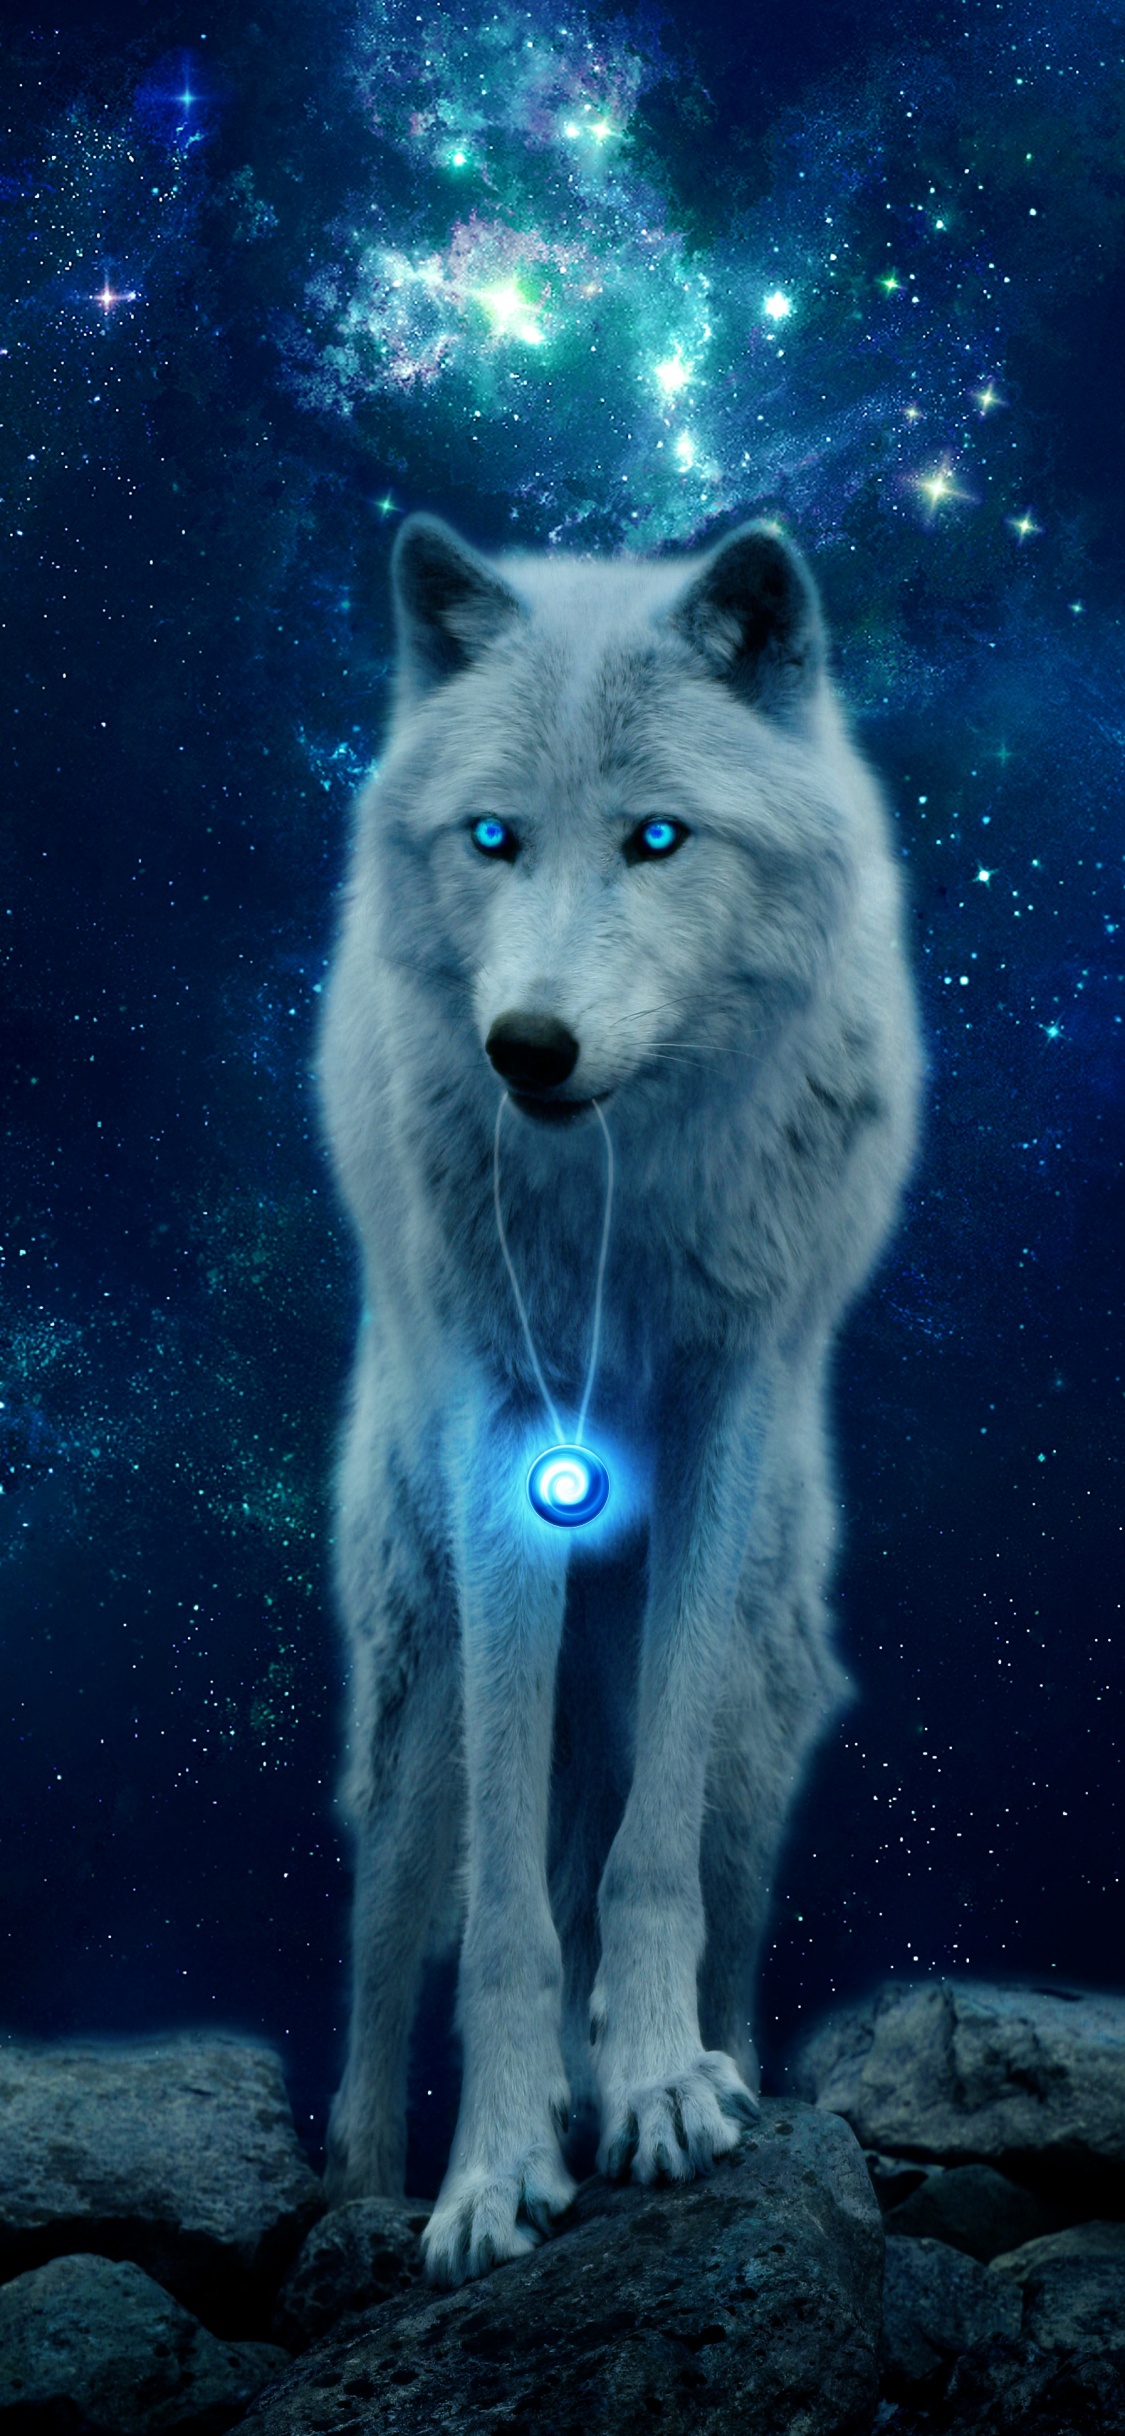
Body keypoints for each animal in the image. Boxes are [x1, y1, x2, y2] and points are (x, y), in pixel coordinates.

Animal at [318, 512, 921, 2287]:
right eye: (492, 838)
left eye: (659, 838)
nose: (526, 1045)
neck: (615, 1193)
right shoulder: (511, 1439)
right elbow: (505, 1925)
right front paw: (491, 2173)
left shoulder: (724, 1411)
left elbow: (643, 1872)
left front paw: (656, 2088)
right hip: (416, 1675)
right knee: (387, 1942)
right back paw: (362, 2187)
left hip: (763, 1704)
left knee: (695, 1882)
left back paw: (693, 2068)